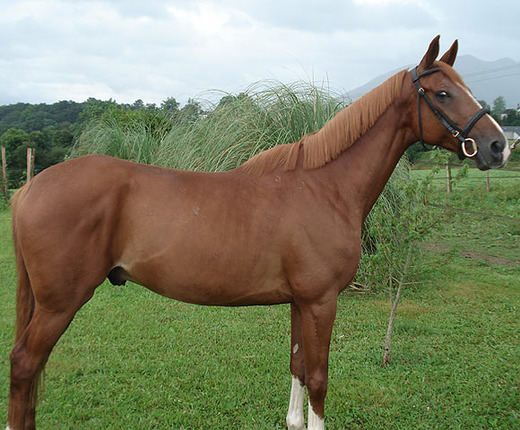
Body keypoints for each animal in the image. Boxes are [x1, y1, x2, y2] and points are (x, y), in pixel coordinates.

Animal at [5, 37, 508, 430]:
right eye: (443, 93)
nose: (498, 145)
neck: (325, 188)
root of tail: (29, 188)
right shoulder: (322, 301)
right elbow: (319, 378)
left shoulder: (301, 302)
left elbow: (298, 368)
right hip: (59, 303)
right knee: (24, 364)